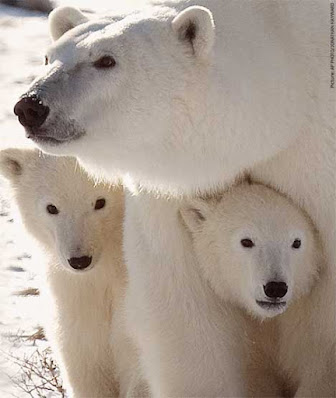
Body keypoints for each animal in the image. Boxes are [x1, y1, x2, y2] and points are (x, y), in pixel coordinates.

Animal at [14, 0, 334, 394]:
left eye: (106, 60)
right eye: (48, 57)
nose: (30, 107)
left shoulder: (314, 159)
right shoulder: (172, 194)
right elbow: (182, 312)